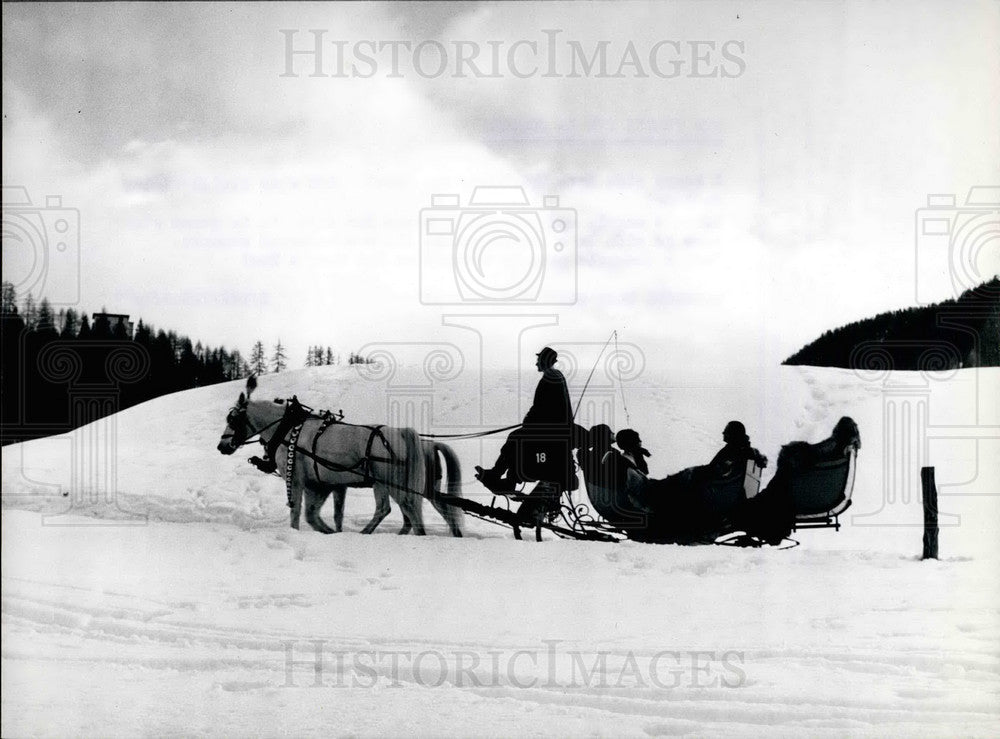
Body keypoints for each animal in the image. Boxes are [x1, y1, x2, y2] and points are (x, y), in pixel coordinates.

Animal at [217, 378, 462, 536]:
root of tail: (402, 432)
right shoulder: (324, 484)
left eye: (233, 420)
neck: (288, 429)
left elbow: (297, 511)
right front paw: (332, 532)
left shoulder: (296, 479)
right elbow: (321, 515)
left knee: (403, 511)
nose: (222, 446)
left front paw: (295, 533)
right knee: (431, 510)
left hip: (391, 484)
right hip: (406, 486)